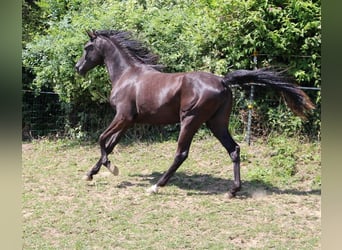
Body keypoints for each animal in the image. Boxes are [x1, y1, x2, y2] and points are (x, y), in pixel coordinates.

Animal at [75, 29, 316, 197]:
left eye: (88, 47)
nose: (78, 68)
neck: (127, 75)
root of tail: (223, 81)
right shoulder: (129, 121)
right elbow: (109, 145)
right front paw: (91, 173)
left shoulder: (122, 117)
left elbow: (102, 140)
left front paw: (111, 168)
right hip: (216, 123)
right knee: (234, 149)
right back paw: (233, 190)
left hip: (190, 120)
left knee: (181, 153)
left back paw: (156, 186)